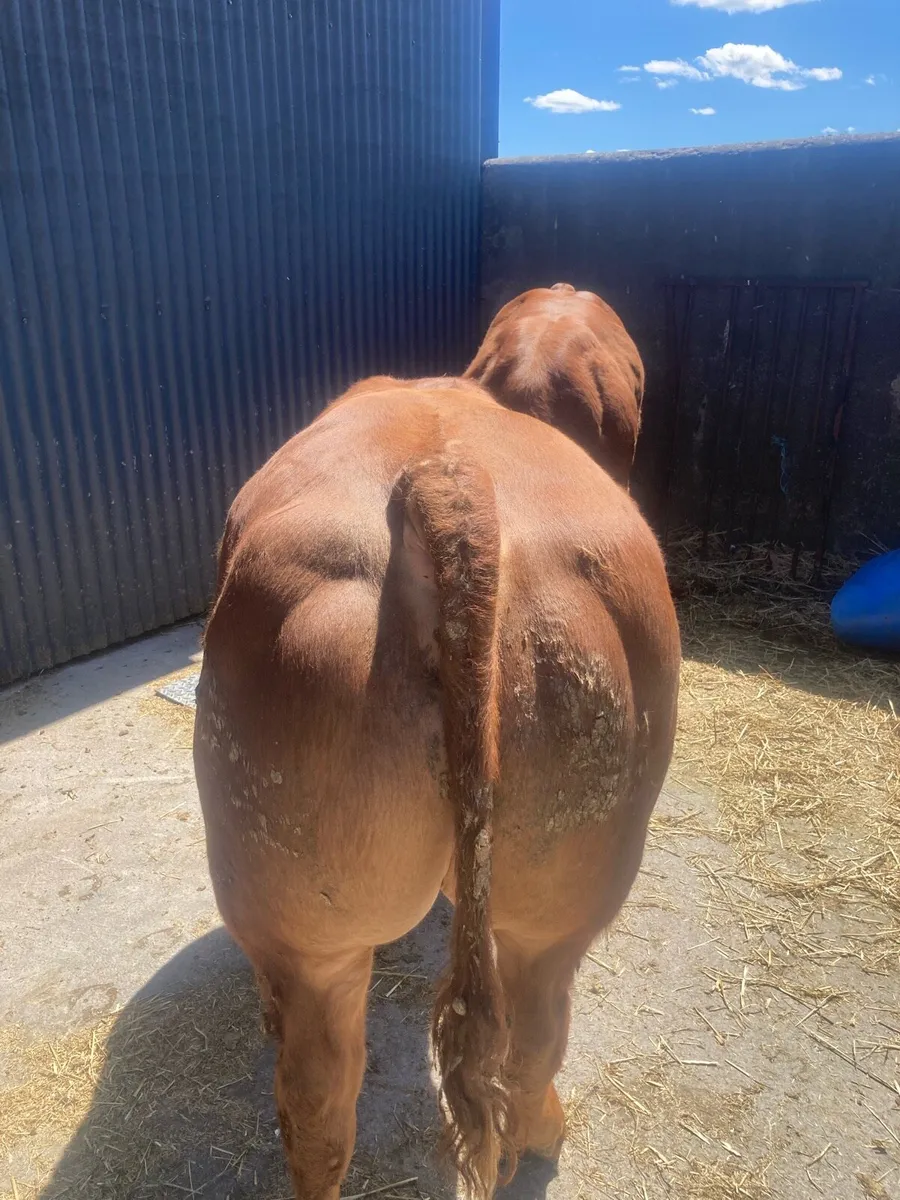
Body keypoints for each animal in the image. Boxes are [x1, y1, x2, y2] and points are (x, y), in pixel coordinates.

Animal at [194, 371, 680, 1199]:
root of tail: (448, 479)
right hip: (562, 900)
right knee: (534, 1038)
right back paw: (540, 1139)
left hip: (302, 929)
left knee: (317, 1105)